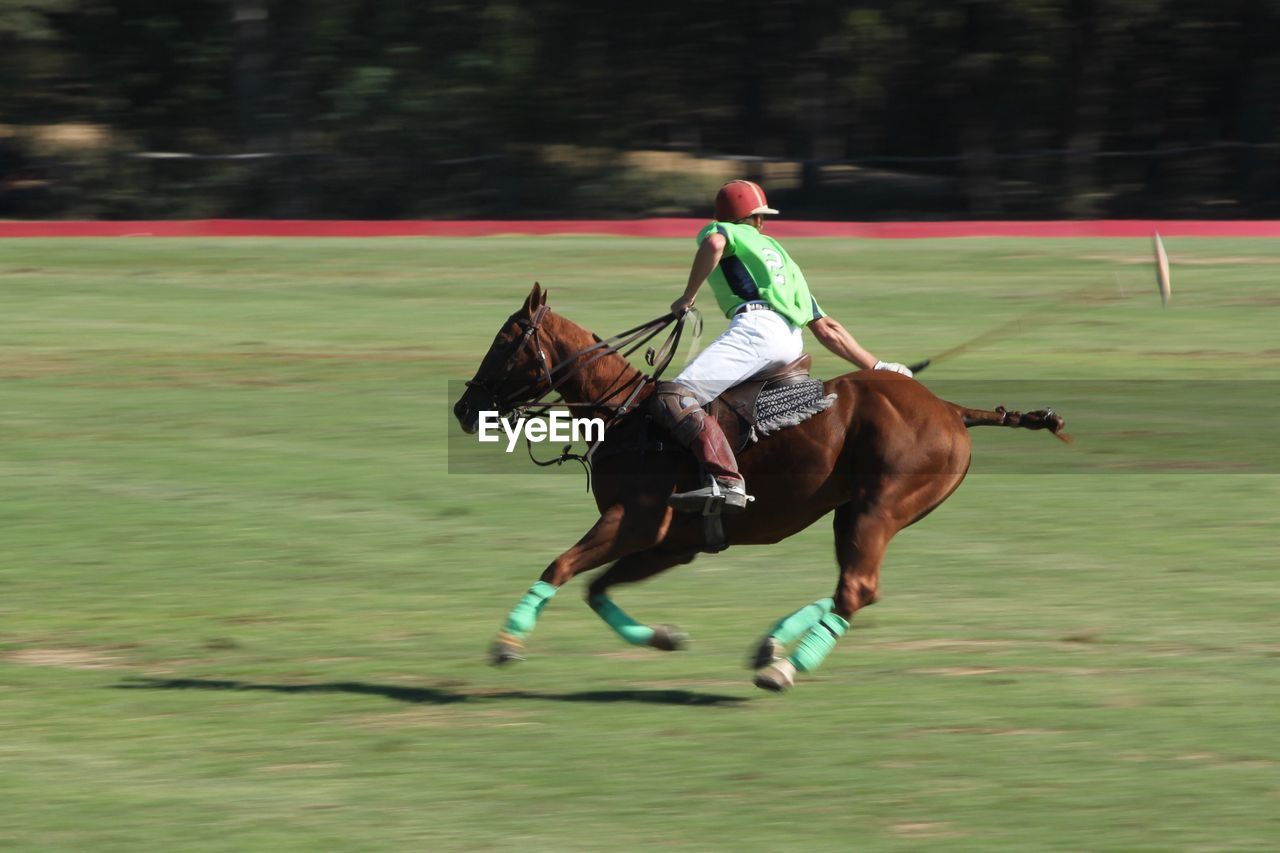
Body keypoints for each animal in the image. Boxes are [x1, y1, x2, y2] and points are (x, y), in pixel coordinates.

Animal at [455, 281, 1064, 686]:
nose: (464, 409)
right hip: (855, 509)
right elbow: (596, 588)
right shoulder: (671, 543)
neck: (625, 414)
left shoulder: (634, 521)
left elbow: (558, 566)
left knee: (857, 587)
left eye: (505, 341)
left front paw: (507, 642)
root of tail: (952, 410)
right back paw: (771, 645)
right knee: (855, 585)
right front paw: (663, 636)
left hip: (881, 506)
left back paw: (786, 666)